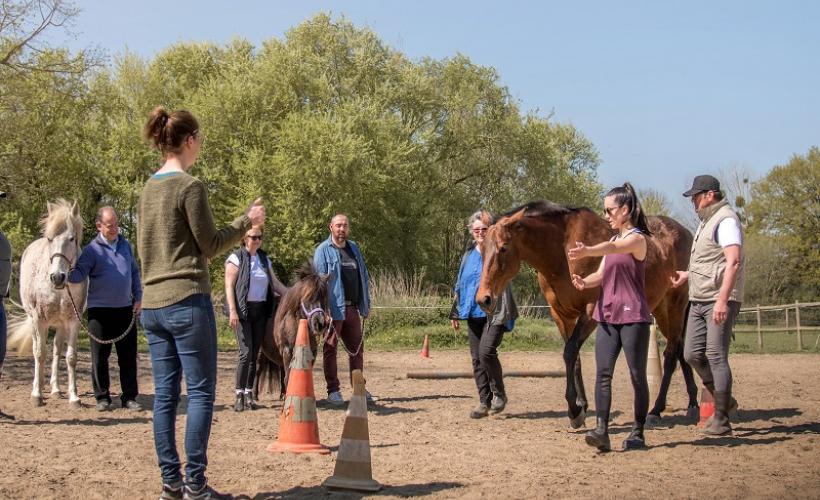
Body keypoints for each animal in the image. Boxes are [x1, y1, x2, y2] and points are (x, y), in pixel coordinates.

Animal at [7, 198, 88, 406]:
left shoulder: (73, 321)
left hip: (59, 324)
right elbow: (40, 353)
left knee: (57, 350)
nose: (57, 277)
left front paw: (74, 396)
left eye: (71, 239)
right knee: (38, 348)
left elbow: (70, 357)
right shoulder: (38, 320)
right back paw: (40, 386)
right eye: (50, 239)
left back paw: (56, 389)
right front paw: (37, 394)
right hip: (34, 321)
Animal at [258, 262, 332, 398]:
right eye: (308, 297)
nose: (319, 323)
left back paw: (282, 394)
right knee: (258, 369)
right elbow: (288, 377)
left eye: (324, 297)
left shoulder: (312, 353)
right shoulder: (287, 351)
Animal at [474, 201, 700, 428]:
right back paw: (692, 403)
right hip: (661, 309)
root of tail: (685, 233)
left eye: (503, 248)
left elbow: (570, 352)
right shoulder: (561, 315)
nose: (484, 299)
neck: (562, 252)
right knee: (679, 348)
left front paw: (574, 411)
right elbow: (574, 358)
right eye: (482, 250)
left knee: (671, 355)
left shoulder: (590, 312)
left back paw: (656, 409)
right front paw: (581, 405)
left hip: (675, 305)